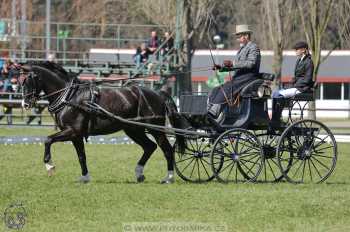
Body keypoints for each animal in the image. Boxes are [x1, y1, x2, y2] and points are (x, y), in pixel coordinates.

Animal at [19, 62, 183, 185]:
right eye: (20, 82)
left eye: (28, 81)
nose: (25, 104)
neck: (69, 97)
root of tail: (158, 93)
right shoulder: (76, 136)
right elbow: (81, 156)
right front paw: (85, 177)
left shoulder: (72, 131)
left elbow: (48, 139)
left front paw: (49, 166)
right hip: (134, 130)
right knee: (150, 147)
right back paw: (139, 174)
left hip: (156, 130)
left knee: (167, 150)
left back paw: (168, 178)